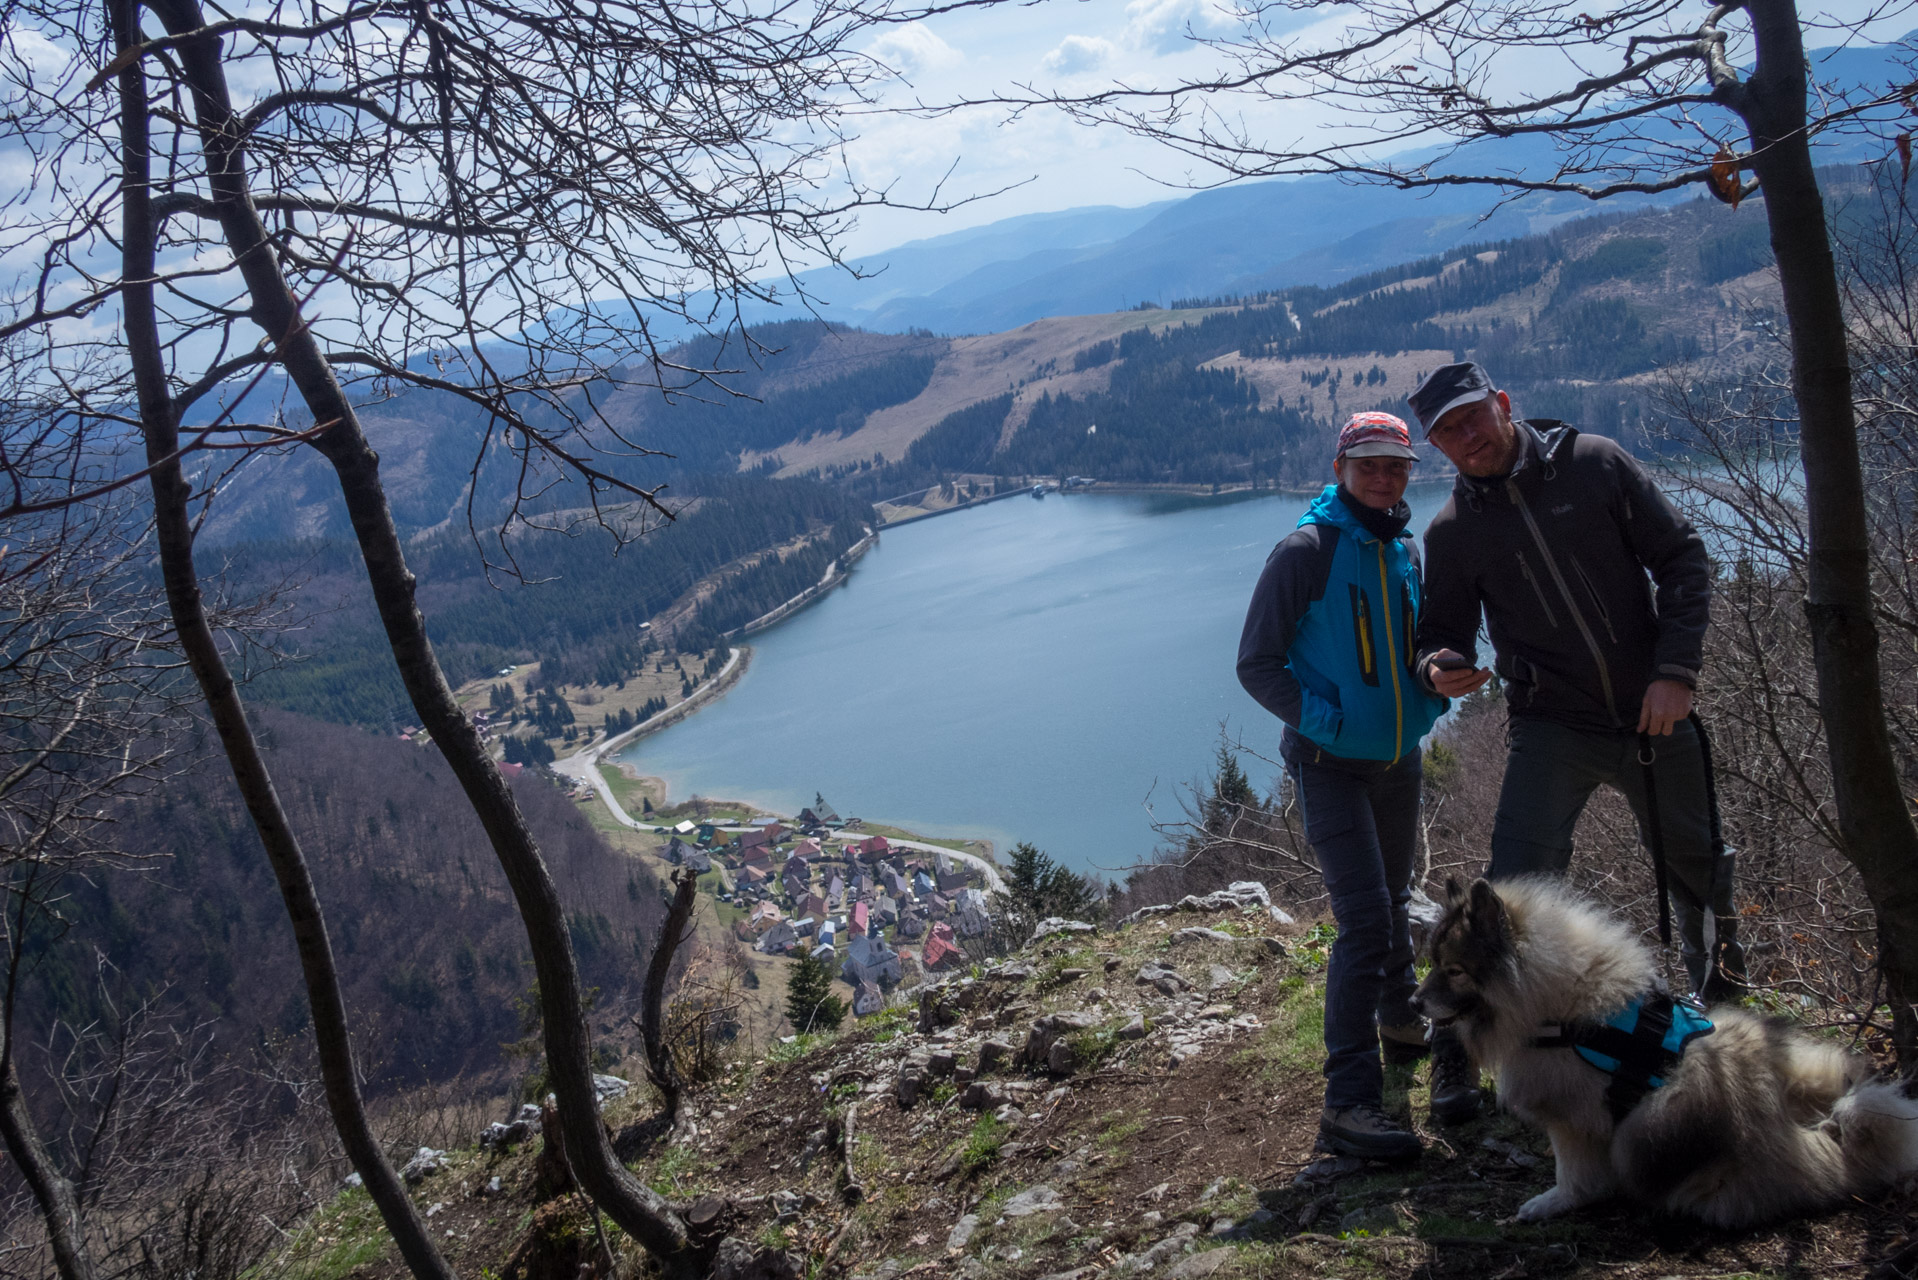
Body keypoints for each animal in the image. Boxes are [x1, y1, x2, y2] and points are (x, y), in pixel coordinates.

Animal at [1411, 875, 1918, 1228]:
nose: (1415, 1002)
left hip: (1660, 1119)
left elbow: (1572, 1174)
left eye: (1454, 971)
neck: (1557, 1007)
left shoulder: (1570, 1117)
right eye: (1432, 963)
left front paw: (1553, 1203)